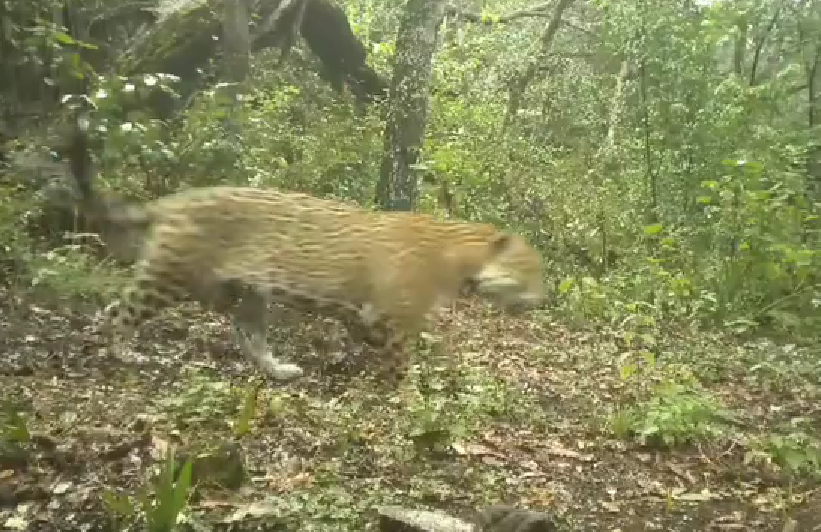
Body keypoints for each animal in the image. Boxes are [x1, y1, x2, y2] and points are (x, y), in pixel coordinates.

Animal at [66, 120, 545, 382]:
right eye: (529, 271)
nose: (541, 299)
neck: (460, 257)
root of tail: (177, 199)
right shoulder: (395, 315)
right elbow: (399, 361)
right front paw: (407, 395)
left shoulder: (371, 311)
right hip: (170, 276)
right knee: (118, 310)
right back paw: (126, 353)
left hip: (248, 291)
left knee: (245, 334)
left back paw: (279, 370)